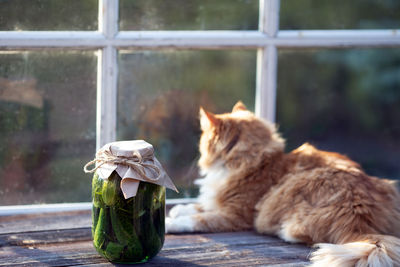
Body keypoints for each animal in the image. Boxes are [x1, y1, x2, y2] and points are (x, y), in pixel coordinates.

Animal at [166, 101, 400, 266]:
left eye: (203, 140)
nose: (200, 150)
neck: (253, 160)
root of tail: (361, 219)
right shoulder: (217, 199)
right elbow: (197, 206)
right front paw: (178, 209)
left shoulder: (234, 214)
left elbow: (198, 219)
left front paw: (170, 222)